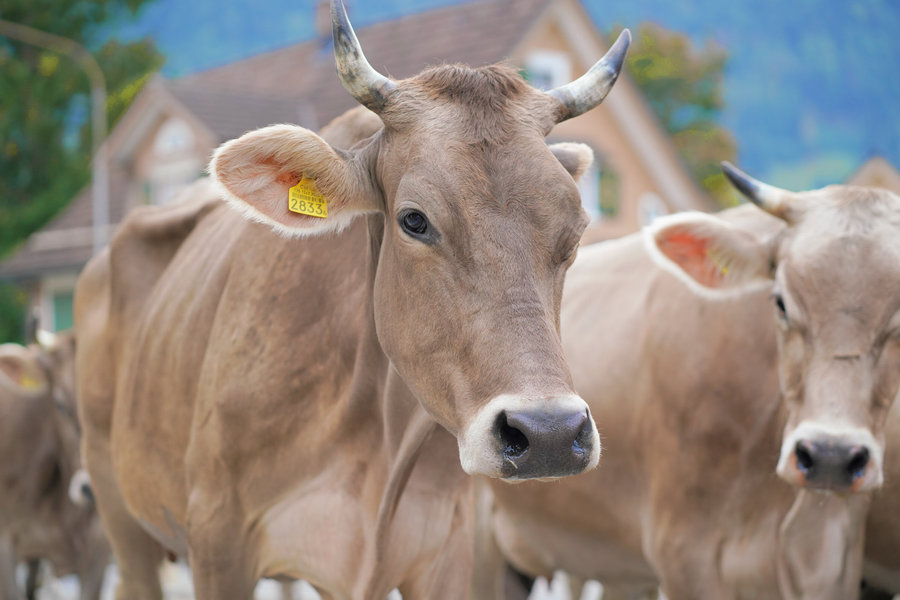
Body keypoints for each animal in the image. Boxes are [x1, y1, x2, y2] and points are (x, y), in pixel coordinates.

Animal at [73, 1, 634, 597]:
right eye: (414, 220)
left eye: (576, 231)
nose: (549, 433)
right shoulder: (218, 540)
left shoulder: (448, 552)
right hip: (119, 514)